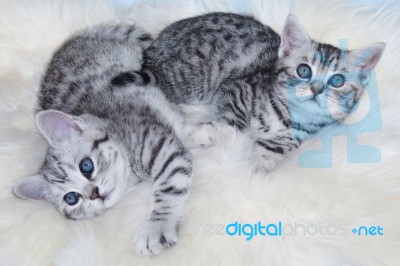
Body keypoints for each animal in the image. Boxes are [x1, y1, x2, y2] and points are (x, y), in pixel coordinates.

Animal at [12, 24, 209, 256]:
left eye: (86, 166)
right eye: (71, 198)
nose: (94, 194)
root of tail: (72, 41)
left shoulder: (162, 146)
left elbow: (169, 185)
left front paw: (156, 228)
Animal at [145, 13, 386, 172]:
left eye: (337, 81)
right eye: (304, 70)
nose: (316, 89)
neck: (288, 116)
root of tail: (152, 50)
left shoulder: (288, 140)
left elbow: (265, 155)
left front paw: (254, 167)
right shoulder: (235, 89)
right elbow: (232, 127)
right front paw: (208, 136)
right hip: (191, 82)